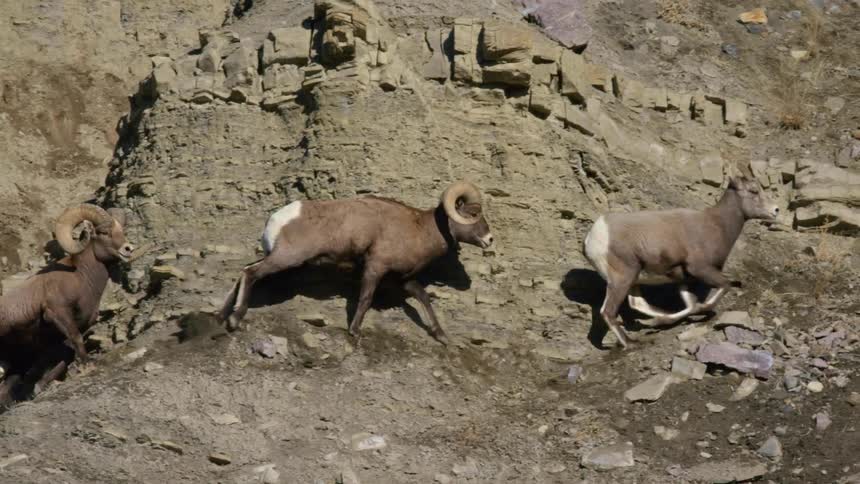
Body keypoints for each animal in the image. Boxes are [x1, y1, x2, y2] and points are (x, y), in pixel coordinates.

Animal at [0, 204, 135, 371]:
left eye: (121, 231)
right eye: (104, 232)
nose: (128, 249)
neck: (81, 276)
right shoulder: (58, 312)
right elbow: (76, 337)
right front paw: (87, 364)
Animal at [219, 181, 494, 344]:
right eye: (473, 213)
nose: (489, 239)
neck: (418, 229)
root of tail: (277, 219)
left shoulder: (402, 280)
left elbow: (424, 298)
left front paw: (441, 336)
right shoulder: (375, 268)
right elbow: (365, 298)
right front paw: (355, 331)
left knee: (244, 271)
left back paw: (222, 314)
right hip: (287, 258)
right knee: (251, 273)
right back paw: (234, 319)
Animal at [583, 176, 778, 348]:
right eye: (754, 191)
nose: (776, 210)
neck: (716, 224)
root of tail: (592, 237)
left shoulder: (684, 280)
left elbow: (691, 306)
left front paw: (661, 322)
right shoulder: (701, 269)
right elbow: (721, 290)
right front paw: (700, 309)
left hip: (632, 280)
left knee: (636, 303)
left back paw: (657, 319)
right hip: (622, 279)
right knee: (608, 312)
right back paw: (631, 344)